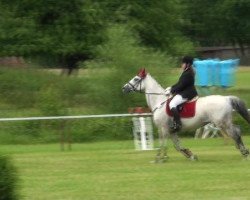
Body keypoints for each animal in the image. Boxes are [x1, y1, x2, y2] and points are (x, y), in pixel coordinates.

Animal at [122, 68, 250, 162]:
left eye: (136, 79)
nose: (124, 88)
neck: (159, 102)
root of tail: (227, 98)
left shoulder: (163, 128)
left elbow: (162, 143)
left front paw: (159, 158)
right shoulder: (171, 130)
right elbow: (177, 146)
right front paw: (190, 155)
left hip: (222, 123)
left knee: (235, 133)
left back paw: (244, 153)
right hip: (224, 122)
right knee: (237, 131)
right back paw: (243, 151)